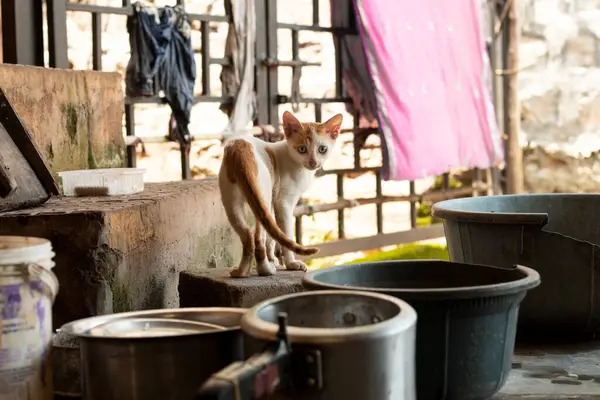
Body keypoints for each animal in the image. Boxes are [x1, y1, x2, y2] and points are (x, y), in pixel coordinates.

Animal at [219, 111, 342, 276]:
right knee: (258, 237)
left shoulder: (272, 204)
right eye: (302, 149)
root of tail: (239, 146)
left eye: (322, 149)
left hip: (232, 203)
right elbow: (286, 234)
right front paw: (290, 264)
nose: (313, 162)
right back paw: (265, 269)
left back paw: (241, 272)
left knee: (248, 236)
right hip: (262, 195)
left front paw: (274, 260)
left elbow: (273, 237)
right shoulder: (283, 203)